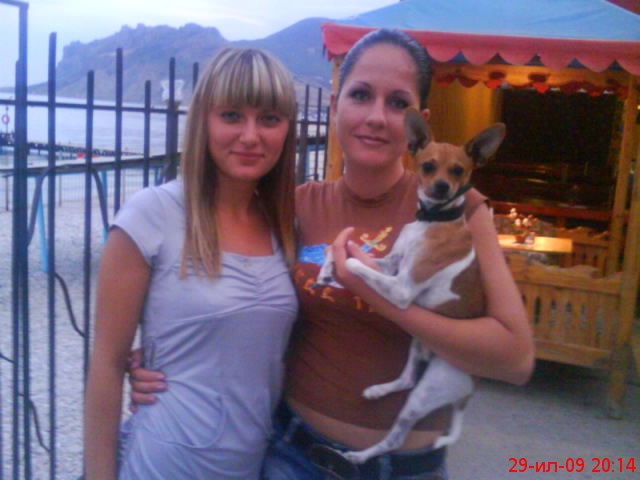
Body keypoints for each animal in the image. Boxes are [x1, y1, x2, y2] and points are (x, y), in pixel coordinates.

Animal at [315, 108, 506, 464]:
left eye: (458, 170)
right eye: (428, 166)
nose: (442, 186)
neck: (432, 221)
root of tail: (472, 385)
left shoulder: (401, 287)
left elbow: (355, 263)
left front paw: (342, 270)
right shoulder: (393, 264)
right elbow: (345, 250)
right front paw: (326, 269)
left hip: (429, 390)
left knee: (394, 439)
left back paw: (359, 457)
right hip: (417, 345)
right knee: (406, 379)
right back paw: (378, 390)